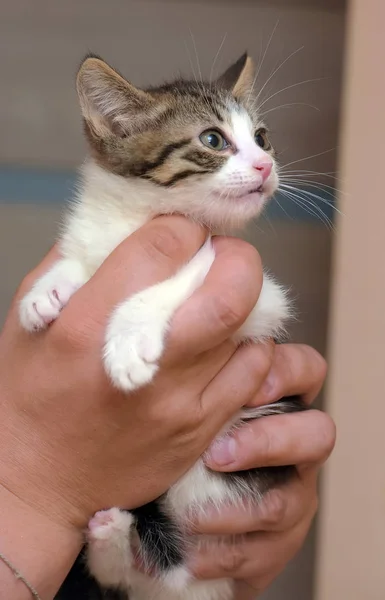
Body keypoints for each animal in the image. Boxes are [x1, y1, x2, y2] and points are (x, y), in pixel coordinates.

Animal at [22, 52, 306, 600]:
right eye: (213, 140)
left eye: (261, 137)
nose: (265, 166)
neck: (140, 217)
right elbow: (82, 261)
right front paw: (45, 291)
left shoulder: (262, 295)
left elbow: (191, 269)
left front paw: (128, 339)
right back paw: (109, 536)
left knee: (166, 571)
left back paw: (115, 538)